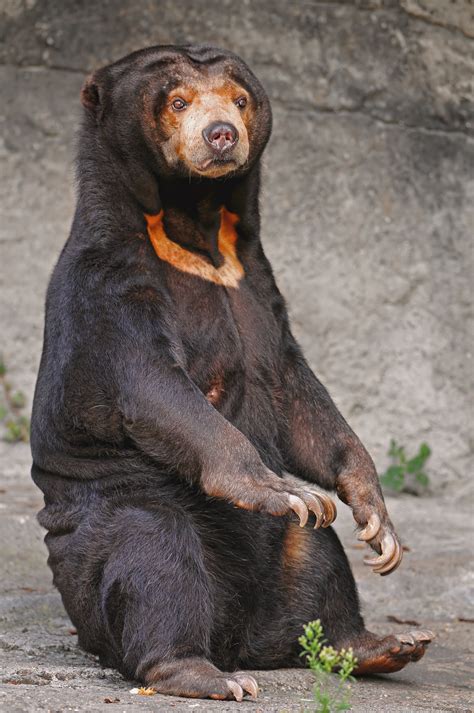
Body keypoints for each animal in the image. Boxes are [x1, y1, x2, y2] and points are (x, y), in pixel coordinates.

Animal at [30, 45, 433, 701]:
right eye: (177, 101)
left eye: (240, 99)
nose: (221, 134)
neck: (195, 231)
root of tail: (238, 638)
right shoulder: (110, 281)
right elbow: (155, 387)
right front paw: (281, 488)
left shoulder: (257, 282)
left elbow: (297, 393)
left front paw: (378, 524)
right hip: (104, 534)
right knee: (156, 558)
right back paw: (202, 673)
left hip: (283, 564)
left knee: (318, 554)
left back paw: (377, 644)